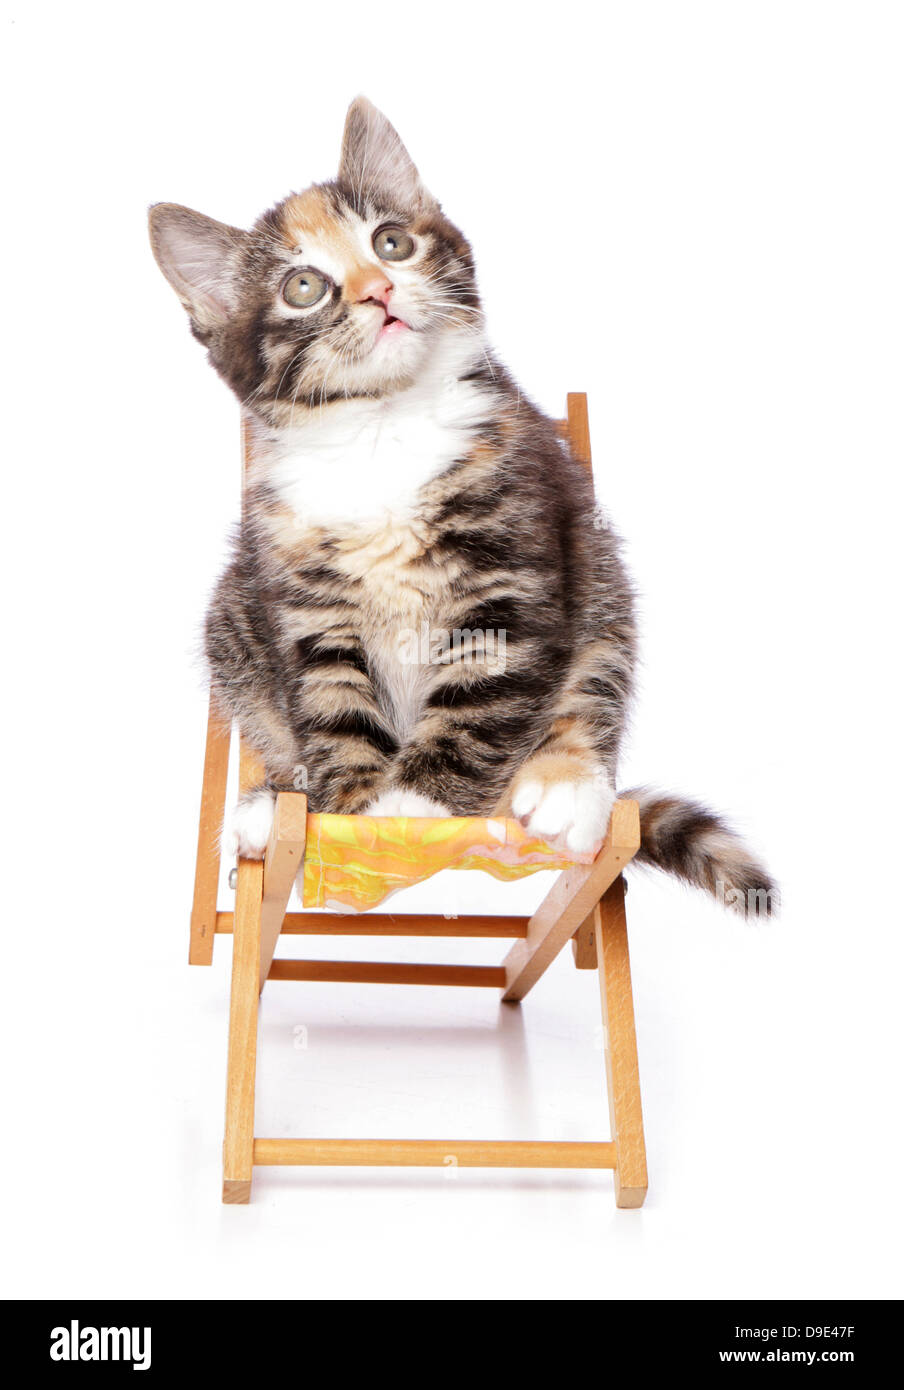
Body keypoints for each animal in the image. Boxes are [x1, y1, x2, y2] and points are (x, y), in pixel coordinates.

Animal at [149, 102, 773, 917]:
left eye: (392, 242)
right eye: (304, 287)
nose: (378, 289)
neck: (383, 430)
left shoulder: (514, 556)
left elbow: (483, 688)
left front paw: (412, 807)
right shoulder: (303, 597)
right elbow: (332, 700)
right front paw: (351, 813)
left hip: (597, 566)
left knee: (595, 673)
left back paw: (565, 785)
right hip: (232, 618)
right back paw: (270, 804)